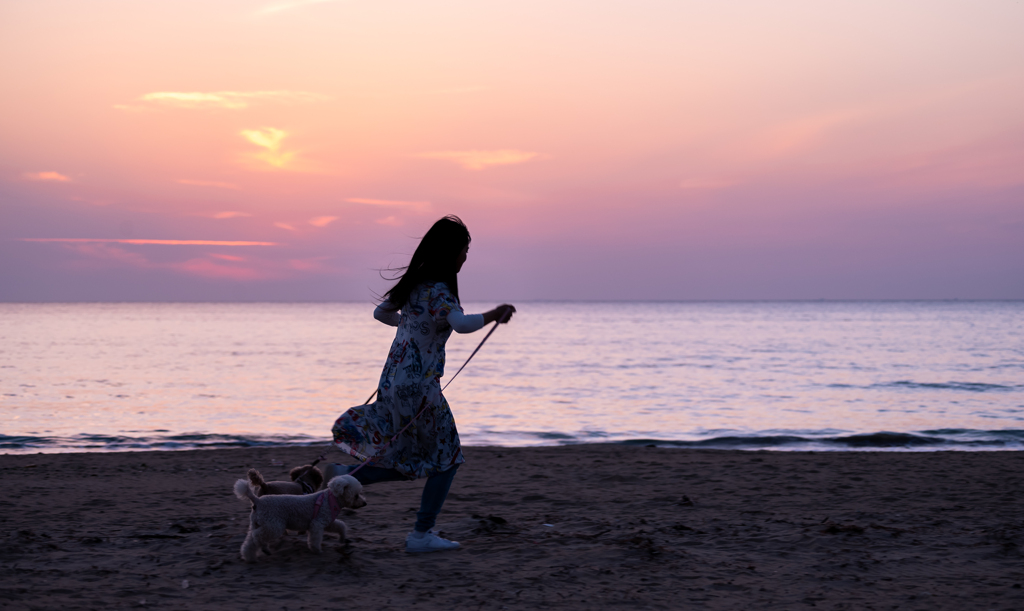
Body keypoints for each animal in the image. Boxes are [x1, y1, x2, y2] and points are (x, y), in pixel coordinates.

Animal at [235, 470, 368, 560]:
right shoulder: (317, 524)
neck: (332, 499)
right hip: (274, 526)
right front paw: (317, 550)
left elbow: (341, 526)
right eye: (356, 495)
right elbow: (315, 539)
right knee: (257, 536)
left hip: (257, 523)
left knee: (250, 541)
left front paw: (342, 538)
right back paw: (262, 548)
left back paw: (249, 556)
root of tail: (257, 500)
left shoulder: (328, 522)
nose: (365, 503)